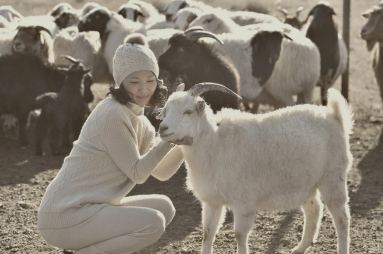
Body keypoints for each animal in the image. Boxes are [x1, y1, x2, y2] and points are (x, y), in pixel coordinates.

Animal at [158, 82, 352, 253]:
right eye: (165, 110)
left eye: (188, 112)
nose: (162, 128)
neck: (216, 142)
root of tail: (334, 116)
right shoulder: (212, 201)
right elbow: (207, 234)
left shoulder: (243, 201)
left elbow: (239, 235)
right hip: (306, 183)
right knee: (314, 209)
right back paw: (300, 248)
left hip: (333, 176)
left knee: (342, 218)